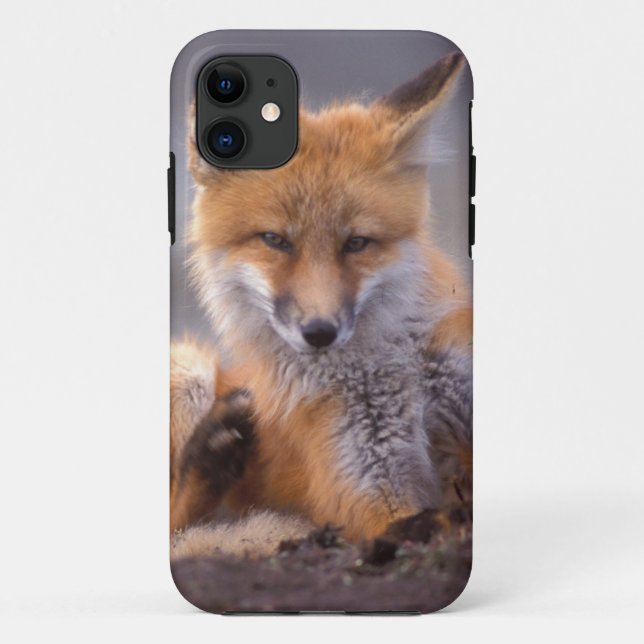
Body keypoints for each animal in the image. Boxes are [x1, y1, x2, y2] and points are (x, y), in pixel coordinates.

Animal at [170, 51, 473, 560]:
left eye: (356, 243)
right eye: (275, 241)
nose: (319, 332)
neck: (391, 368)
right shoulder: (368, 489)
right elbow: (413, 522)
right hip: (188, 369)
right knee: (176, 524)